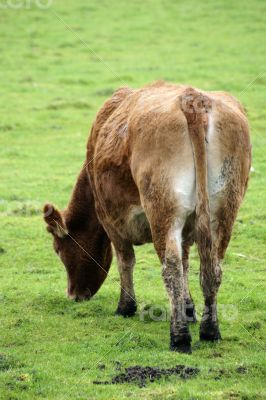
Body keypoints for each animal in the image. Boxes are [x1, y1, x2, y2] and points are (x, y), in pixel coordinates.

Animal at [44, 81, 251, 354]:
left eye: (58, 250)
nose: (74, 295)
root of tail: (192, 100)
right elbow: (186, 262)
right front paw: (188, 309)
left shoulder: (108, 217)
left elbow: (125, 260)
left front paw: (125, 306)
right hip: (224, 209)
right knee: (211, 268)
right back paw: (209, 331)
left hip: (163, 209)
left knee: (171, 268)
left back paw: (179, 337)